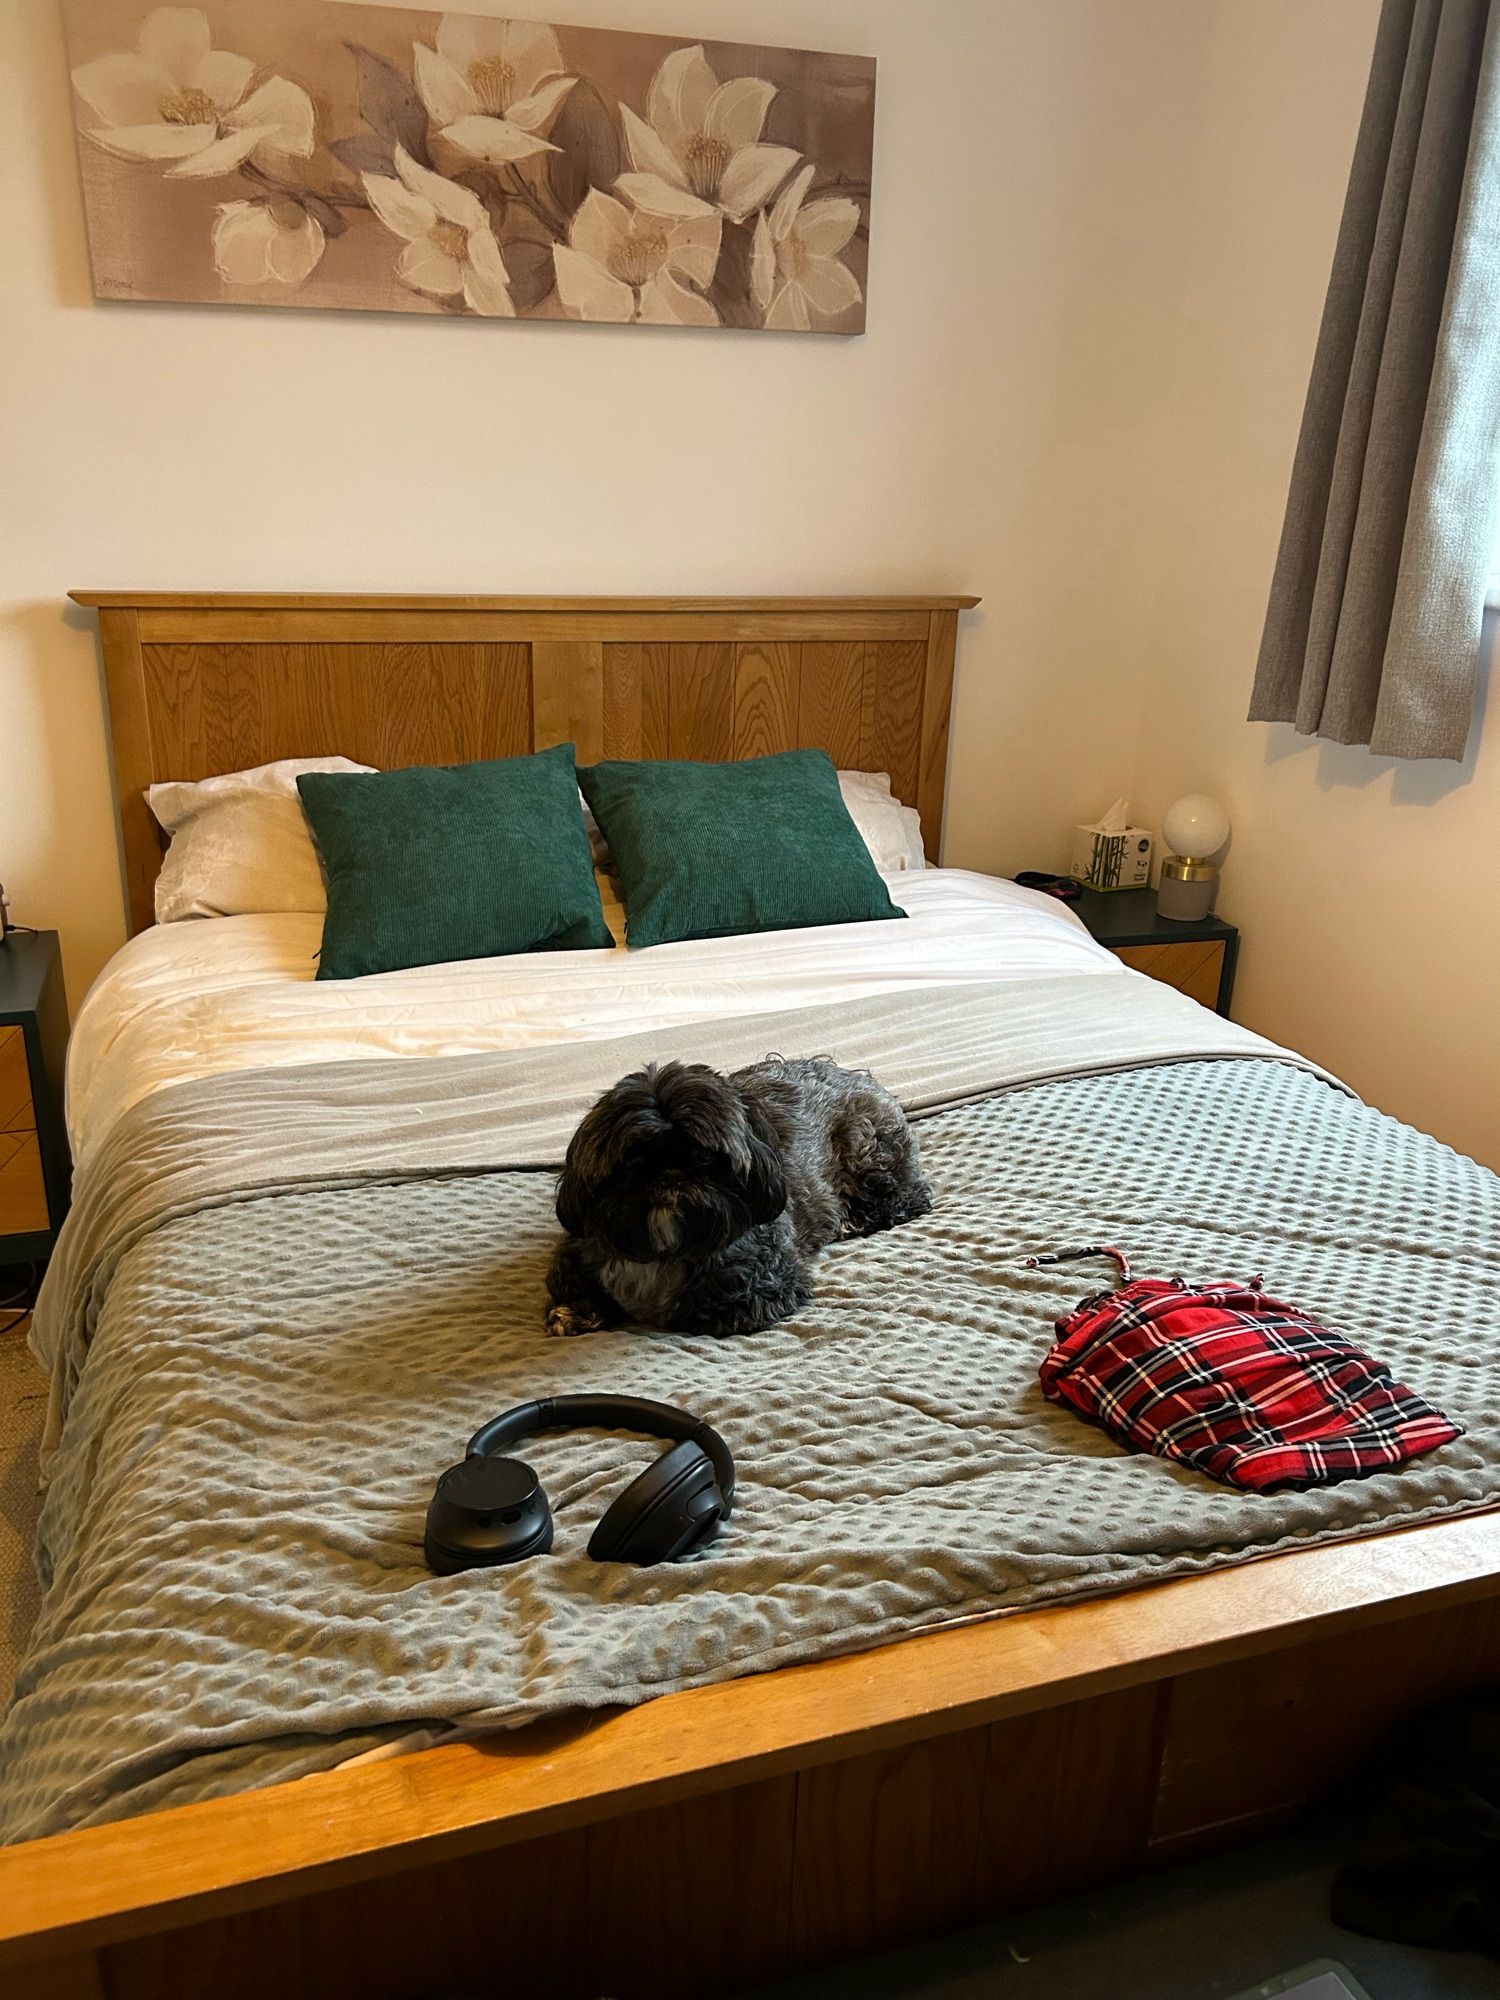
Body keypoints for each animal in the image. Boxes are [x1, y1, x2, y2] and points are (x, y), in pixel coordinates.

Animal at [548, 1056, 936, 1336]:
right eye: (632, 1161)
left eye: (704, 1156)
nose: (670, 1175)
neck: (666, 1249)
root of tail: (857, 1076)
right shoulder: (580, 1247)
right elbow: (570, 1281)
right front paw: (576, 1311)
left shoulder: (768, 1285)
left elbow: (707, 1309)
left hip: (866, 1149)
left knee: (912, 1195)